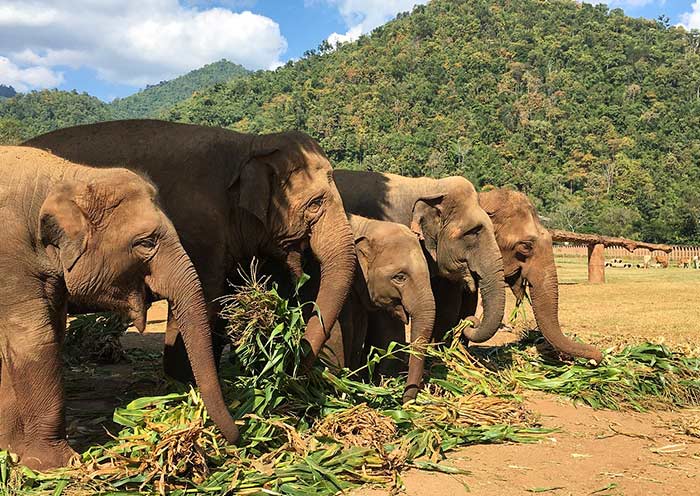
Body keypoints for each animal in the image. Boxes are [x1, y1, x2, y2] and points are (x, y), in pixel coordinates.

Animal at [0, 146, 238, 468]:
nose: (238, 436)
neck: (64, 176)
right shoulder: (9, 259)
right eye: (146, 242)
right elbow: (36, 340)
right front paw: (55, 465)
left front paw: (10, 451)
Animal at [25, 120, 358, 376]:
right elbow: (203, 298)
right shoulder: (198, 230)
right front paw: (182, 382)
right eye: (315, 204)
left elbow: (223, 299)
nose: (293, 369)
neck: (249, 144)